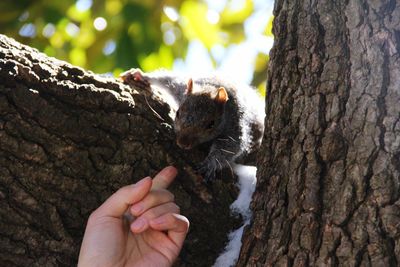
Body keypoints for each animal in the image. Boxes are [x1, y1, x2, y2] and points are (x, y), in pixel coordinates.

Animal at [120, 69, 268, 182]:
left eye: (211, 124)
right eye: (178, 113)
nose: (182, 143)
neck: (210, 88)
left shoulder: (236, 122)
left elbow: (231, 146)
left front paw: (210, 163)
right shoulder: (180, 89)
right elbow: (168, 80)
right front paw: (141, 75)